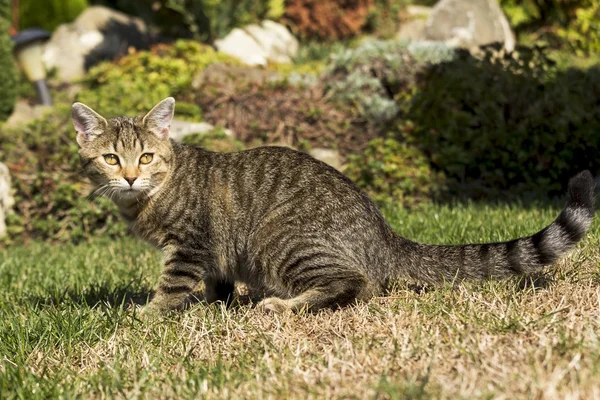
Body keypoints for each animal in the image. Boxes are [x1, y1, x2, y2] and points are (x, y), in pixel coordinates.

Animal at [71, 97, 596, 312]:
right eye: (111, 158)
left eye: (146, 157)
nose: (130, 176)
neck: (154, 193)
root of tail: (384, 234)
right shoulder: (216, 252)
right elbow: (216, 283)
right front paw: (209, 306)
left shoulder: (190, 244)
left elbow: (171, 286)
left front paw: (147, 316)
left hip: (280, 239)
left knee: (357, 285)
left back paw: (282, 306)